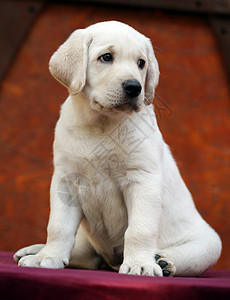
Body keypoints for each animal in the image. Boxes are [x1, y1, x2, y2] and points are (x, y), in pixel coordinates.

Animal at [13, 21, 221, 276]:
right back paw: (34, 250)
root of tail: (109, 262)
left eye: (141, 63)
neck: (101, 125)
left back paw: (163, 261)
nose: (134, 87)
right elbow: (59, 226)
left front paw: (140, 264)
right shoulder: (66, 179)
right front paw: (47, 257)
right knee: (84, 254)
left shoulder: (142, 179)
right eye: (106, 57)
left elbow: (139, 229)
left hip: (209, 244)